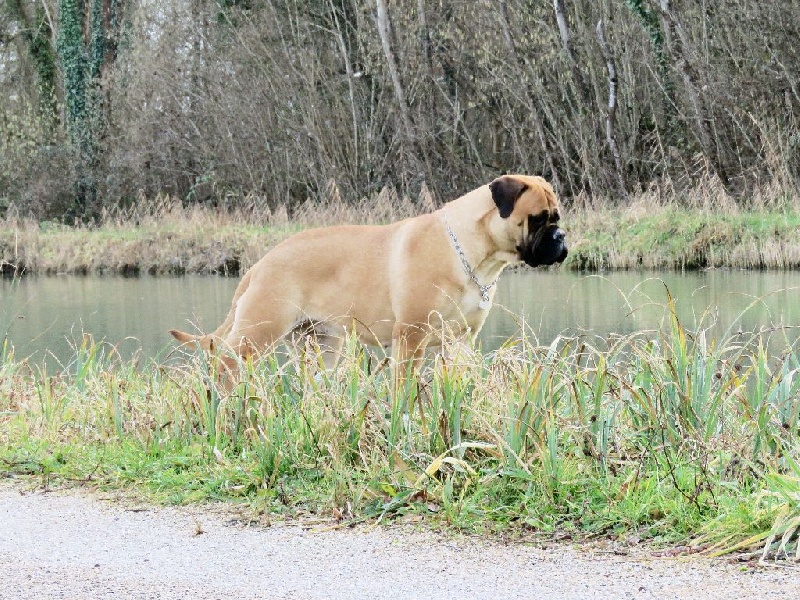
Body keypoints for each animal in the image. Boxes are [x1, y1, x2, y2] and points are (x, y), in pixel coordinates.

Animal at [171, 175, 564, 380]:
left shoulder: (461, 341)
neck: (472, 254)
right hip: (258, 331)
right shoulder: (411, 336)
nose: (561, 237)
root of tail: (259, 264)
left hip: (321, 345)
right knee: (225, 362)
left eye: (556, 217)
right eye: (538, 219)